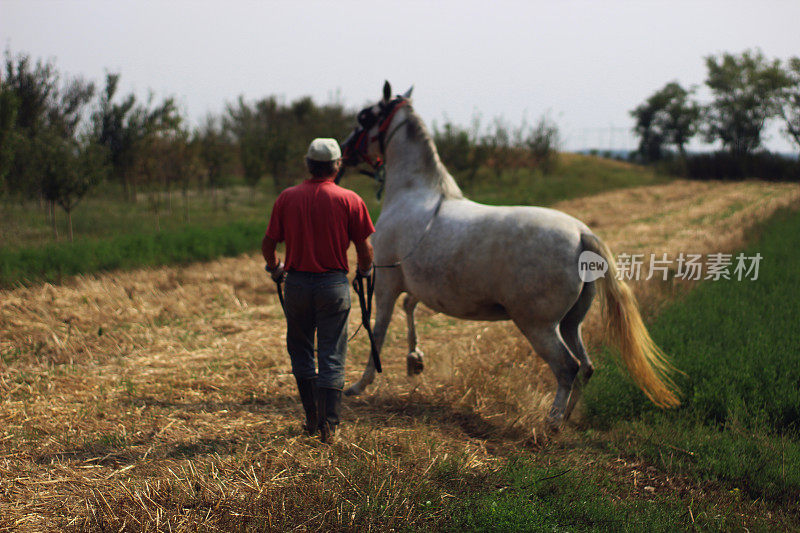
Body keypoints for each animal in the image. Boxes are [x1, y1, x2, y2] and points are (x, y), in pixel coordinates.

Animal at [340, 83, 680, 430]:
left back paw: (551, 424)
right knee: (585, 366)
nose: (343, 150)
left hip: (538, 325)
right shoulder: (417, 285)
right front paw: (414, 361)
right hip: (571, 322)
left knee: (567, 367)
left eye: (365, 117)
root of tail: (582, 234)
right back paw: (566, 417)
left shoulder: (386, 281)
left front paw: (358, 385)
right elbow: (410, 307)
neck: (413, 194)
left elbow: (378, 331)